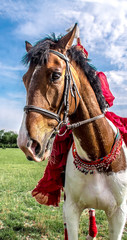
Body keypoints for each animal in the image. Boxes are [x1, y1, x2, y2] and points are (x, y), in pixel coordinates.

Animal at [17, 23, 127, 239]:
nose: (26, 143)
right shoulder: (71, 209)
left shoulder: (119, 215)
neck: (96, 155)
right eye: (25, 79)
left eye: (55, 75)